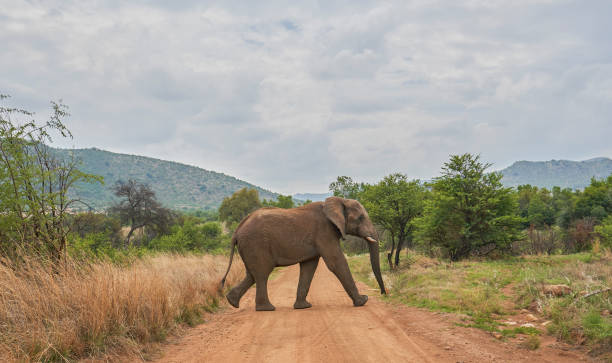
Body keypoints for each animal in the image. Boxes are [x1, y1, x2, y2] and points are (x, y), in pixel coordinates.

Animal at [219, 198, 382, 312]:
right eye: (360, 218)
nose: (382, 293)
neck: (339, 201)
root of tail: (237, 230)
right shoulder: (324, 232)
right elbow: (336, 262)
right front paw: (363, 301)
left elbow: (309, 267)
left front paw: (303, 307)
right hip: (256, 244)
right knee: (262, 273)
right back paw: (267, 309)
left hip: (249, 247)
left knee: (252, 275)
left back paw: (232, 302)